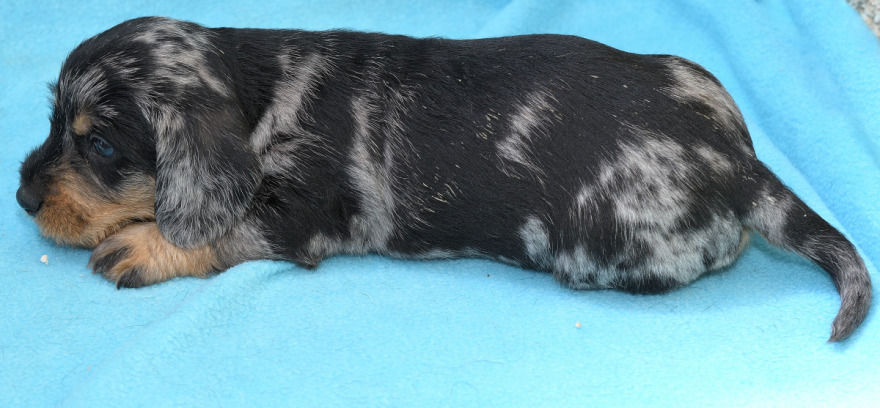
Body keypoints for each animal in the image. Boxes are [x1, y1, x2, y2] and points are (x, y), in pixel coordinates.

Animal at [16, 17, 871, 341]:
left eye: (100, 147)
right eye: (55, 121)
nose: (22, 197)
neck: (258, 89)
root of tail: (740, 163)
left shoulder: (298, 214)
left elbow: (219, 232)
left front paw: (143, 242)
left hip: (605, 246)